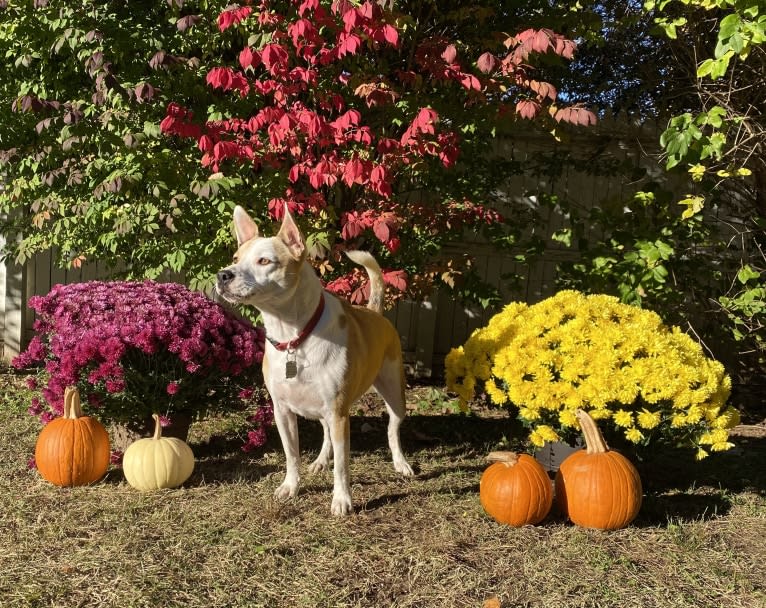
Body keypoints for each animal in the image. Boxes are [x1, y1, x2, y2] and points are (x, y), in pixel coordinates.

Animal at [216, 207, 416, 516]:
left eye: (264, 261)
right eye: (236, 258)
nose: (223, 274)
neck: (293, 336)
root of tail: (375, 312)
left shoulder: (339, 413)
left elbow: (343, 466)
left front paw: (342, 500)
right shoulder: (283, 411)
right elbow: (292, 455)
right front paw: (290, 487)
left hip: (395, 394)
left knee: (392, 429)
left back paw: (400, 463)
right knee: (325, 433)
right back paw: (321, 460)